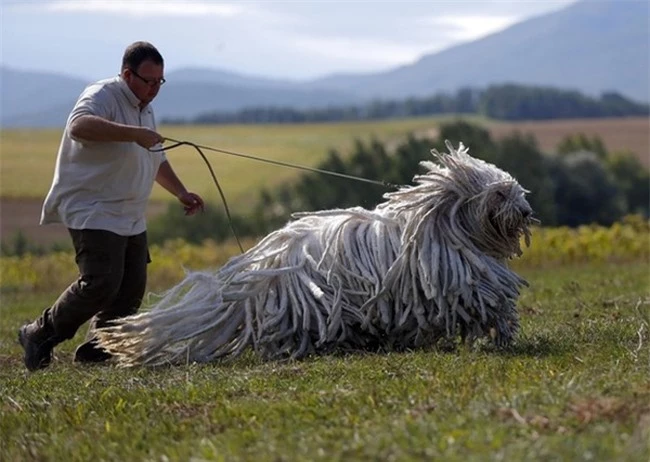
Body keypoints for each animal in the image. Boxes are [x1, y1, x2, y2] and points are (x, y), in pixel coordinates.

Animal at [95, 143, 532, 366]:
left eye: (514, 188)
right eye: (499, 193)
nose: (526, 211)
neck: (443, 224)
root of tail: (259, 268)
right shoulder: (460, 281)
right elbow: (490, 301)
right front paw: (503, 332)